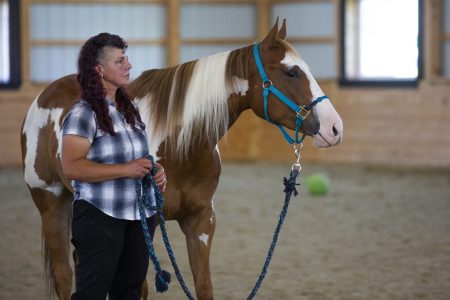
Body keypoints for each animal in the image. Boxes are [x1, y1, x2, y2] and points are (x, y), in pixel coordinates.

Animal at [20, 19, 342, 298]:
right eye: (291, 72)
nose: (335, 128)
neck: (181, 148)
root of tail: (44, 97)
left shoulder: (201, 222)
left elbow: (203, 287)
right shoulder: (145, 228)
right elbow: (138, 287)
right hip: (51, 203)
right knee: (64, 275)